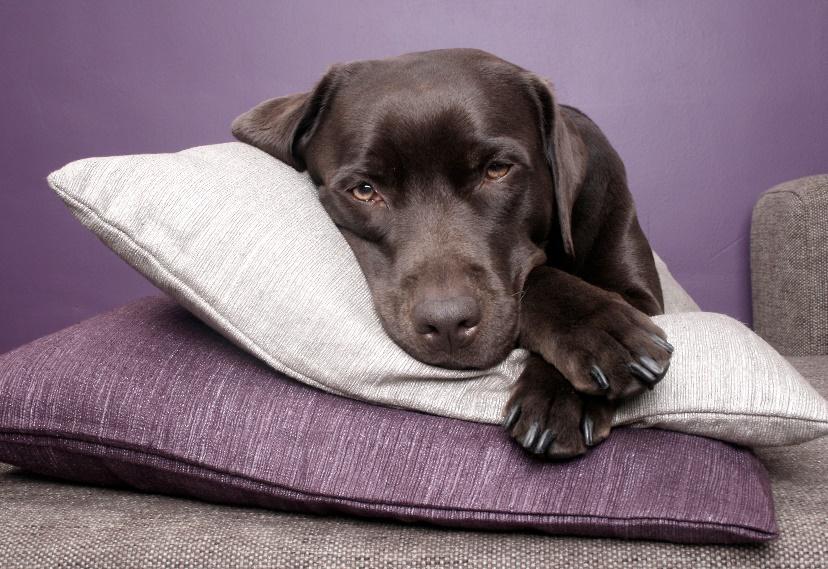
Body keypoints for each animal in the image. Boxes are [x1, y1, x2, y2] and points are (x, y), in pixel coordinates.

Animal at [231, 47, 672, 458]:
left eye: (497, 170)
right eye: (365, 190)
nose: (446, 323)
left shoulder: (643, 295)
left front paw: (573, 374)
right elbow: (538, 277)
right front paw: (589, 337)